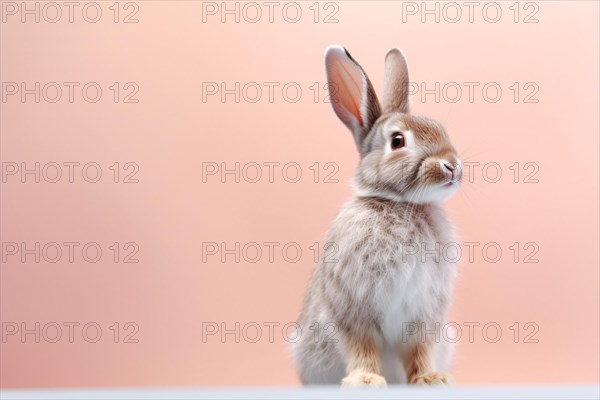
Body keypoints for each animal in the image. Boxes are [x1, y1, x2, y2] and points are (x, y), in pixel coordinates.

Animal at [292, 45, 462, 386]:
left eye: (439, 128)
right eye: (397, 141)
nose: (452, 165)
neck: (400, 204)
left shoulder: (424, 313)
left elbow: (420, 348)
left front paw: (431, 379)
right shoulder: (354, 308)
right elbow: (362, 346)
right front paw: (365, 381)